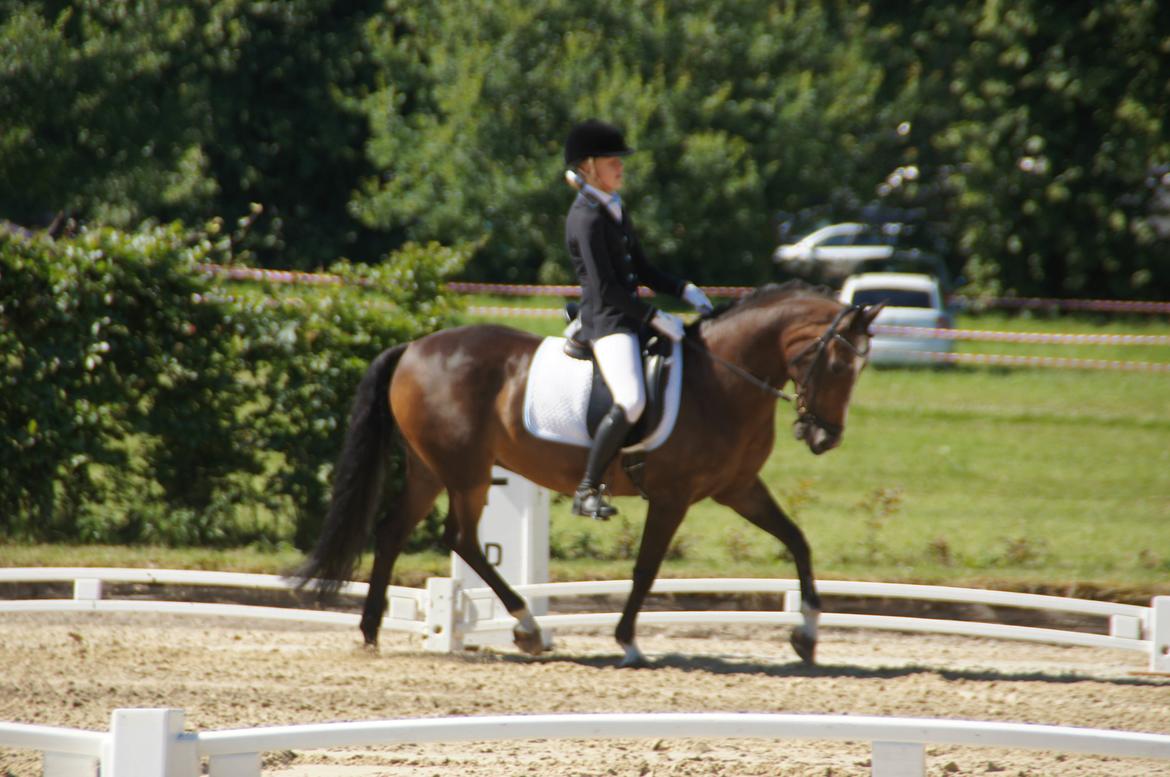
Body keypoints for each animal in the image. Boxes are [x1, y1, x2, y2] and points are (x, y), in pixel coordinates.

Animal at [296, 281, 883, 667]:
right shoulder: (672, 498)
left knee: (394, 531)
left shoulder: (738, 489)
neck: (723, 380)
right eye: (836, 364)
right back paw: (527, 627)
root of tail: (415, 347)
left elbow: (798, 541)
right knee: (459, 537)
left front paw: (807, 633)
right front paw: (628, 640)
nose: (825, 437)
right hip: (467, 473)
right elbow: (646, 570)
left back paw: (371, 631)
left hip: (431, 470)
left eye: (860, 370)